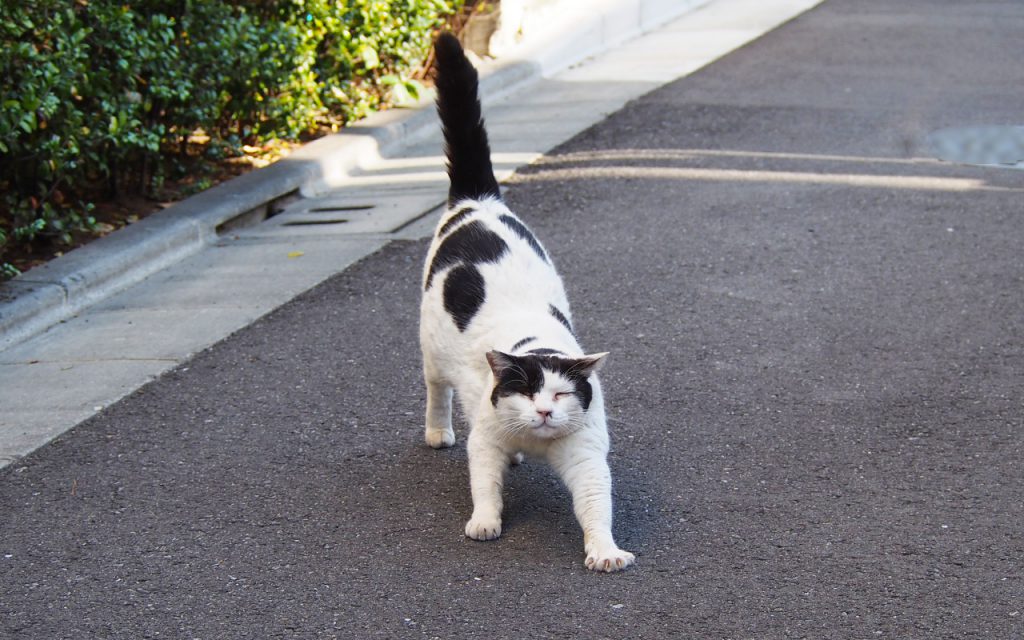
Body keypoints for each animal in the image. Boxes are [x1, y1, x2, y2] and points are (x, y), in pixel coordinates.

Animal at [419, 31, 634, 573]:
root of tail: (479, 202)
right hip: (431, 351)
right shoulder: (485, 442)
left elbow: (596, 505)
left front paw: (605, 551)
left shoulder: (587, 456)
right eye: (526, 391)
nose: (541, 412)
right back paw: (437, 432)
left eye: (558, 395)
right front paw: (484, 524)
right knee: (437, 393)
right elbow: (485, 485)